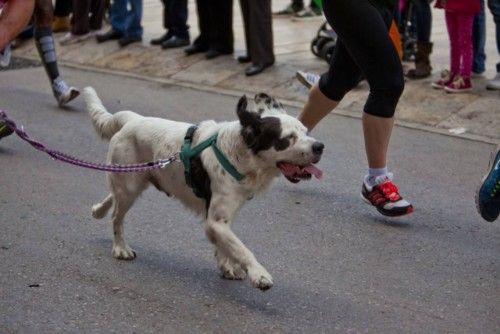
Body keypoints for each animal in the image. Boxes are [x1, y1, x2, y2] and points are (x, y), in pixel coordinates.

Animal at [83, 87, 324, 290]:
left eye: (305, 131)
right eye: (288, 139)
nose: (319, 146)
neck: (239, 154)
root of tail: (134, 119)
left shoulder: (221, 218)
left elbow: (225, 246)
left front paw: (228, 267)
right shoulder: (216, 220)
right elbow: (242, 249)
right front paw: (259, 274)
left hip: (130, 181)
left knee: (112, 198)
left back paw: (98, 210)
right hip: (130, 187)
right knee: (117, 218)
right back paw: (120, 248)